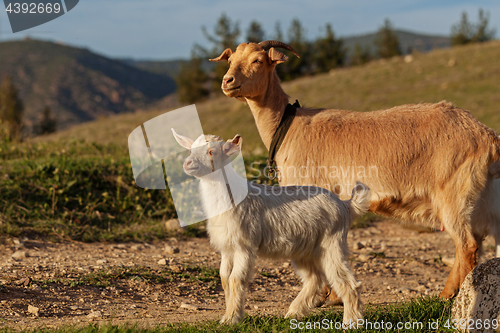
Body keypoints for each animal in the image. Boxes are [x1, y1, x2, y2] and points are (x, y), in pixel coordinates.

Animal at [210, 40, 500, 298]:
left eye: (258, 60)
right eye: (230, 60)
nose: (227, 81)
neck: (288, 126)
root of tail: (487, 136)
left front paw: (327, 295)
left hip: (453, 193)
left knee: (467, 245)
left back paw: (446, 296)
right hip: (484, 199)